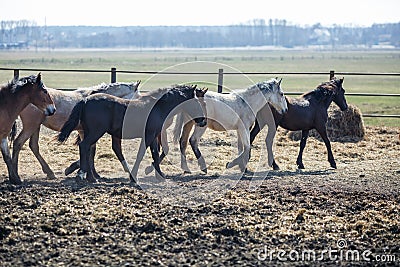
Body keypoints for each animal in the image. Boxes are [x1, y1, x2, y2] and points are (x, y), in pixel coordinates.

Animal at [11, 80, 141, 181]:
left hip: (36, 127)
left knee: (33, 146)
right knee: (18, 143)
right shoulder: (87, 132)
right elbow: (89, 151)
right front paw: (83, 172)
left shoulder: (84, 132)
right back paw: (16, 176)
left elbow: (90, 151)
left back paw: (49, 172)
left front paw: (88, 172)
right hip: (31, 126)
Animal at [57, 85, 208, 184]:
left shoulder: (154, 136)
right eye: (196, 102)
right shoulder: (148, 135)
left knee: (89, 149)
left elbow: (155, 153)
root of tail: (85, 100)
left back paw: (90, 177)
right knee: (85, 146)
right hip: (96, 132)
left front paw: (159, 175)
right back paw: (84, 176)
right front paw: (134, 177)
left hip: (91, 132)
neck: (158, 107)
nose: (203, 121)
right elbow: (142, 153)